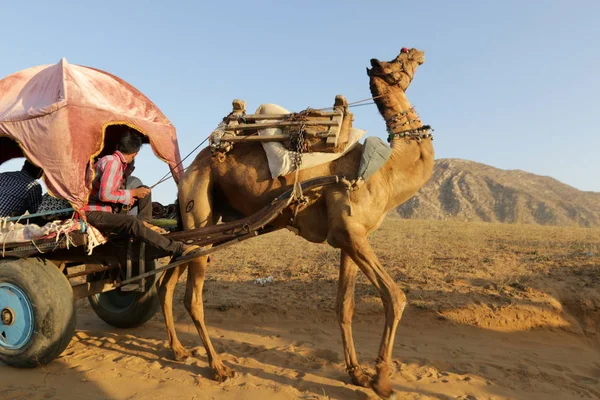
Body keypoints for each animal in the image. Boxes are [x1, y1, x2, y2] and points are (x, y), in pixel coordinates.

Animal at [157, 47, 434, 400]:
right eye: (400, 59)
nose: (420, 53)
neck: (386, 171)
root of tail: (189, 168)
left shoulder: (350, 237)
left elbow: (345, 305)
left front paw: (357, 373)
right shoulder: (348, 231)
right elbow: (395, 297)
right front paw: (381, 380)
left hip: (202, 224)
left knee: (167, 280)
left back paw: (178, 350)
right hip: (199, 205)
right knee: (192, 297)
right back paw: (217, 367)